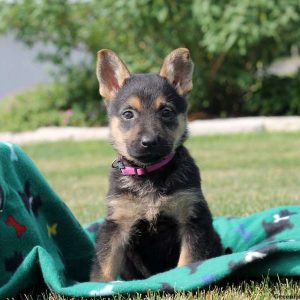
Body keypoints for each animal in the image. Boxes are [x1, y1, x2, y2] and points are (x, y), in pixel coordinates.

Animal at [89, 47, 223, 282]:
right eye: (128, 114)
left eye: (166, 112)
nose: (149, 142)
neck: (149, 175)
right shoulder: (117, 223)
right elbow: (104, 265)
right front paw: (98, 286)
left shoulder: (192, 218)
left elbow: (188, 261)